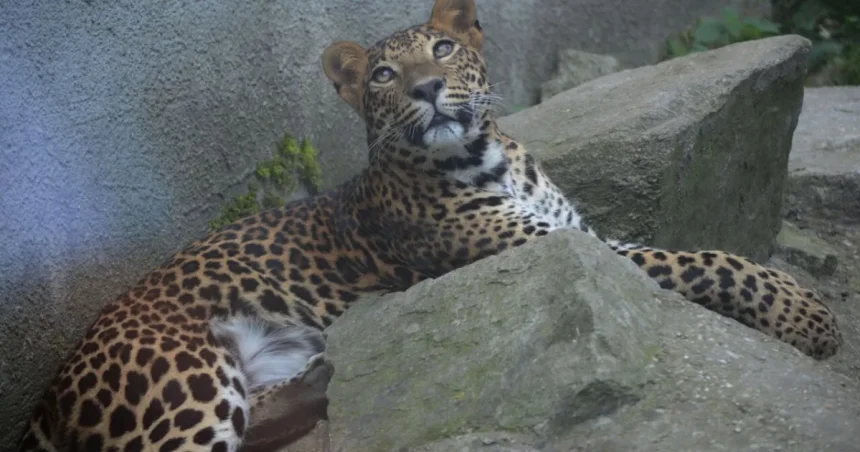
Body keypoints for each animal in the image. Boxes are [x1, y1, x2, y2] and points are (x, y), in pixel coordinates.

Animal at [17, 0, 842, 450]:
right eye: (384, 75)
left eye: (444, 47)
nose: (427, 87)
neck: (488, 156)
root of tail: (51, 389)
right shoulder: (549, 246)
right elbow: (706, 259)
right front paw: (809, 317)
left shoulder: (576, 235)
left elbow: (695, 253)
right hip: (189, 390)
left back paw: (327, 376)